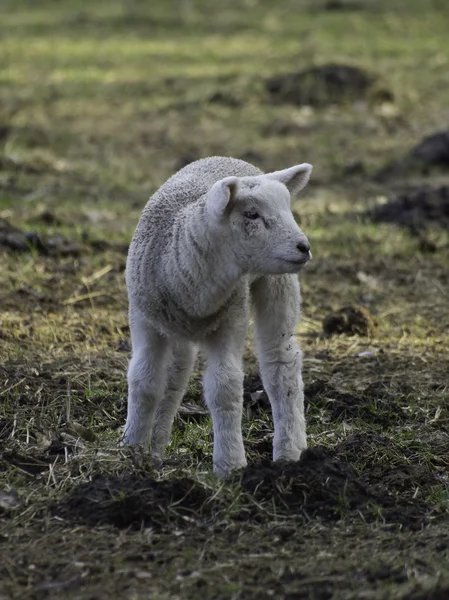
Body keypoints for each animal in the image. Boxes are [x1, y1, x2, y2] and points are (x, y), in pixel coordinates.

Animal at [122, 157, 312, 476]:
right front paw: (132, 449)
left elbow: (225, 387)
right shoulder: (143, 318)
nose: (304, 247)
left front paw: (230, 464)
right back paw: (158, 445)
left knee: (280, 363)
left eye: (288, 209)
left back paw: (288, 451)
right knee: (177, 374)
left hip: (277, 281)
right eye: (251, 214)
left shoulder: (231, 318)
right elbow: (144, 381)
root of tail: (232, 160)